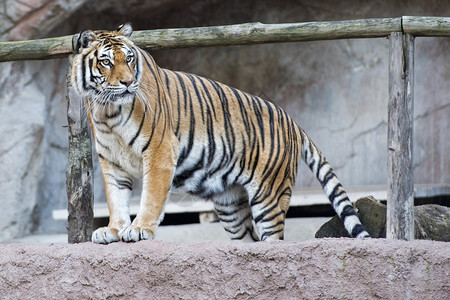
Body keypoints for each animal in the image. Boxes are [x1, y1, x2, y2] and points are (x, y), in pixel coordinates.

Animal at [70, 23, 370, 244]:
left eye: (130, 59)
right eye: (106, 62)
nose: (128, 82)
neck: (107, 112)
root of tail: (293, 122)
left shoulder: (160, 150)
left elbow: (151, 196)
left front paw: (140, 229)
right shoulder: (112, 160)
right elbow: (116, 198)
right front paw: (113, 230)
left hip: (269, 196)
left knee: (274, 240)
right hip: (230, 204)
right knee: (247, 240)